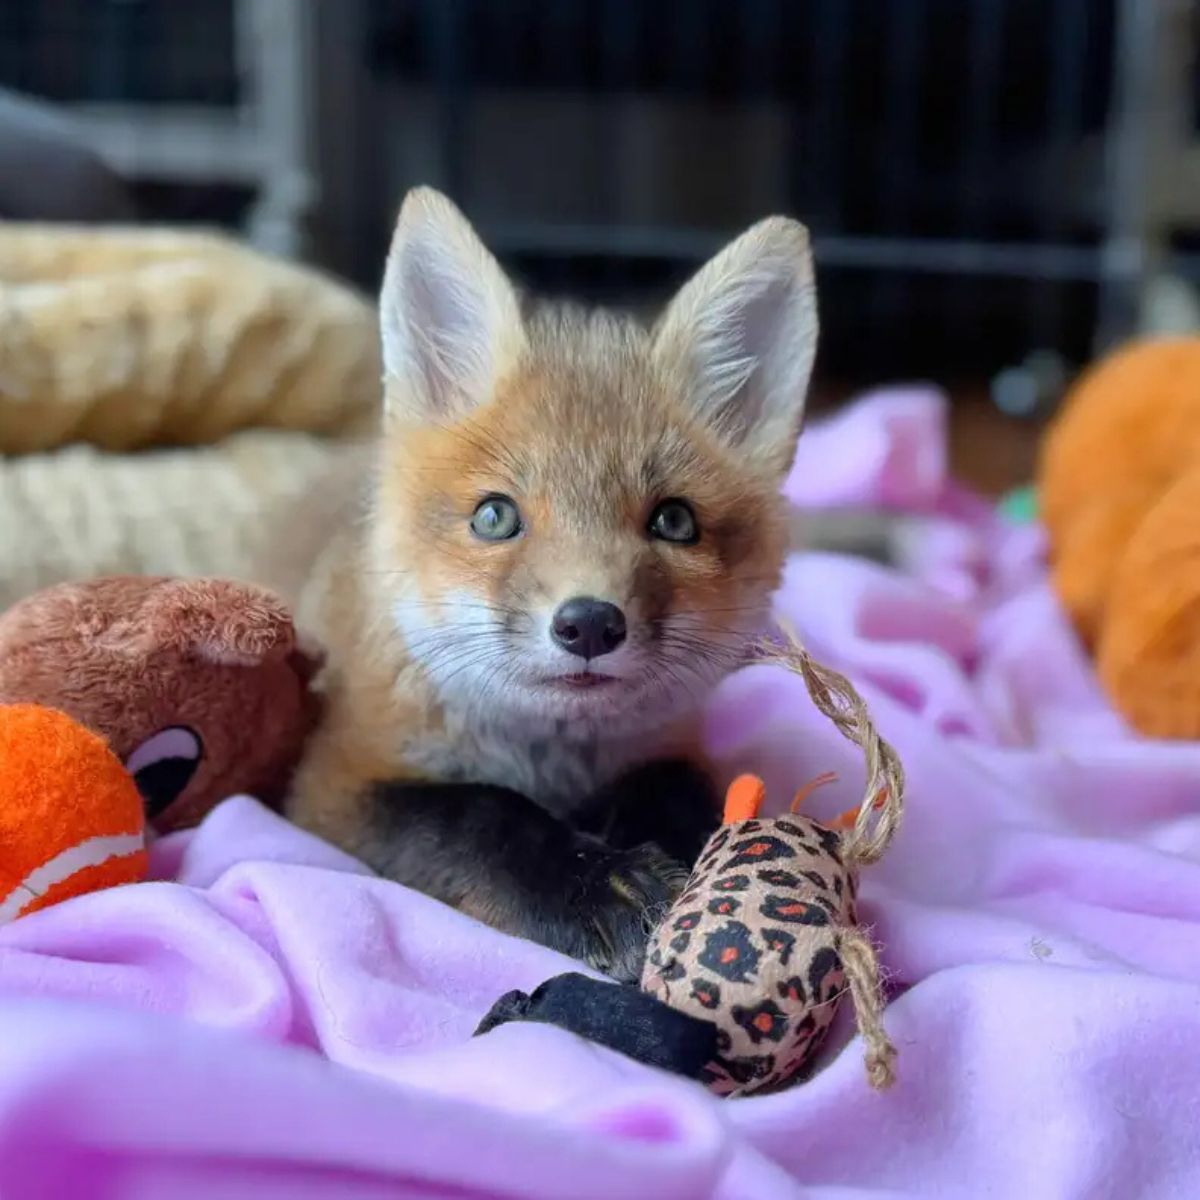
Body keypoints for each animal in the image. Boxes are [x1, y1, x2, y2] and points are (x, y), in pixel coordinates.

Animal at [279, 186, 829, 982]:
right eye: (496, 516)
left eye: (674, 521)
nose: (590, 623)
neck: (551, 767)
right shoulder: (330, 784)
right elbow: (478, 812)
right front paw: (594, 884)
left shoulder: (674, 745)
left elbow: (683, 792)